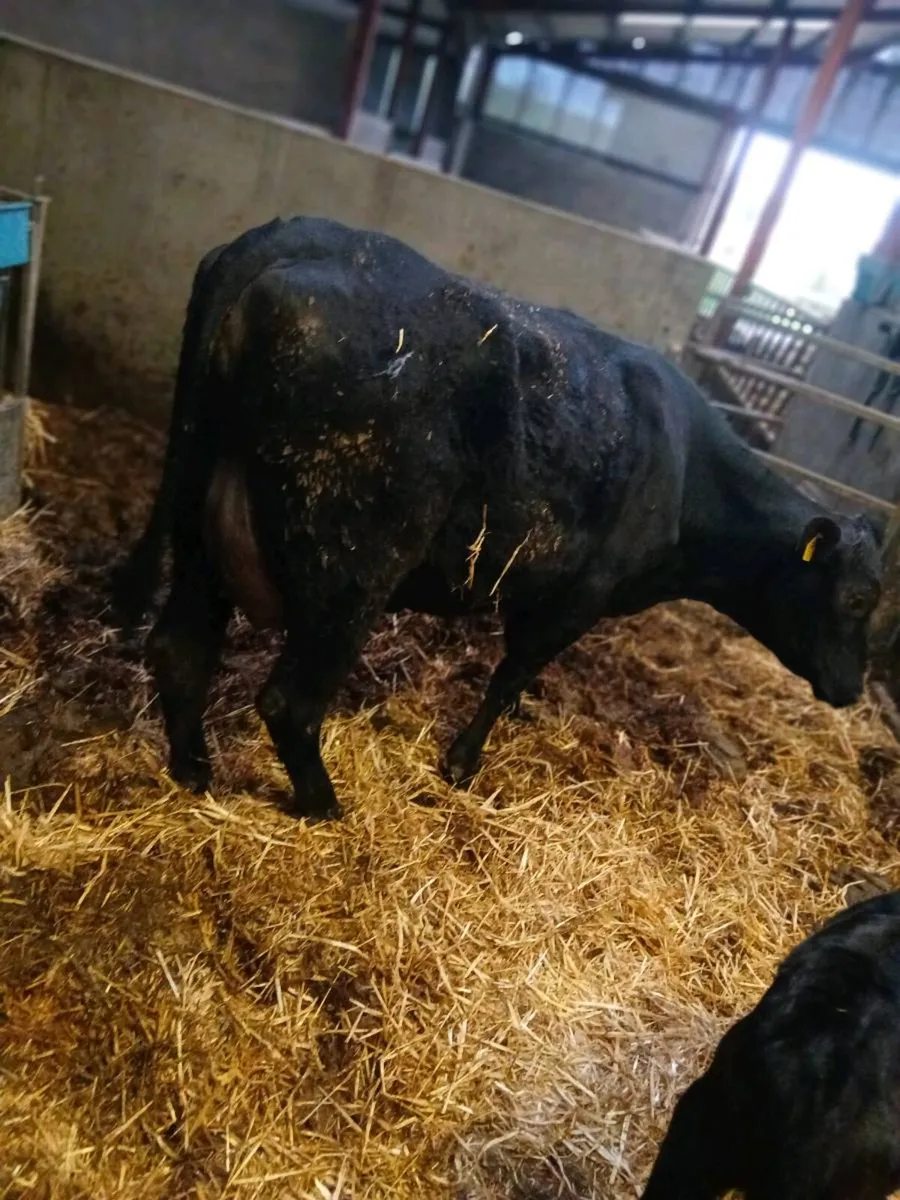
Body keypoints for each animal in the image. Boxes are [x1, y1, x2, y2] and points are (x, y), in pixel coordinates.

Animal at [113, 216, 883, 821]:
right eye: (855, 598)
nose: (851, 689)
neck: (686, 464)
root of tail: (290, 235)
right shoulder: (580, 593)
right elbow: (512, 670)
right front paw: (462, 762)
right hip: (353, 571)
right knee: (289, 701)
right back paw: (324, 804)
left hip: (202, 524)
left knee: (181, 648)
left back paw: (193, 769)